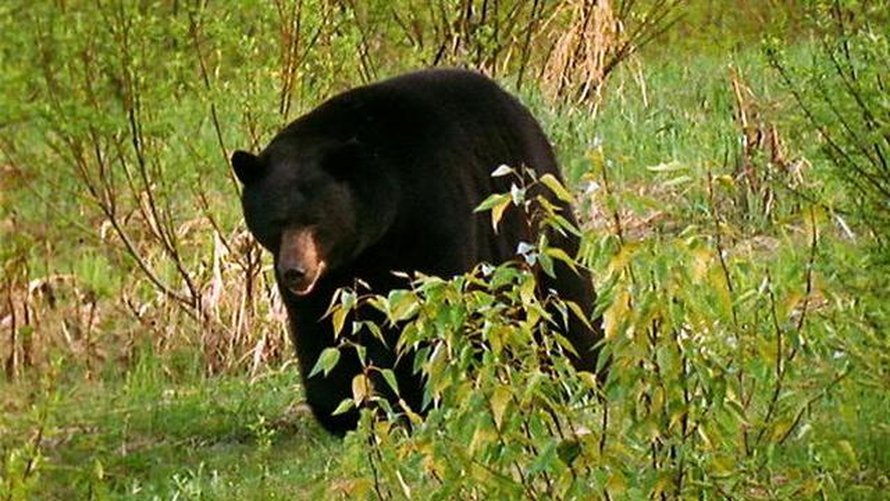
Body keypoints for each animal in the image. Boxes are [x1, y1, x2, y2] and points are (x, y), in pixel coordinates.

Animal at [231, 67, 604, 434]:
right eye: (277, 222)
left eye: (315, 220)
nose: (295, 271)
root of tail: (520, 108)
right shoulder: (329, 275)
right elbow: (322, 329)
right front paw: (343, 411)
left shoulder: (430, 209)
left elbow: (430, 311)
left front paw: (419, 399)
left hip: (530, 207)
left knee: (563, 291)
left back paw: (584, 373)